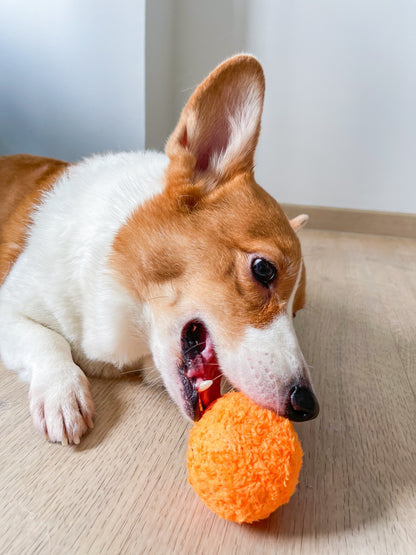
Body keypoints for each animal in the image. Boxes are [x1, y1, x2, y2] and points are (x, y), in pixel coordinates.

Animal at [0, 55, 318, 448]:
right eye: (263, 269)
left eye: (297, 313)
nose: (307, 406)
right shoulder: (10, 306)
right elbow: (47, 340)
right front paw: (63, 395)